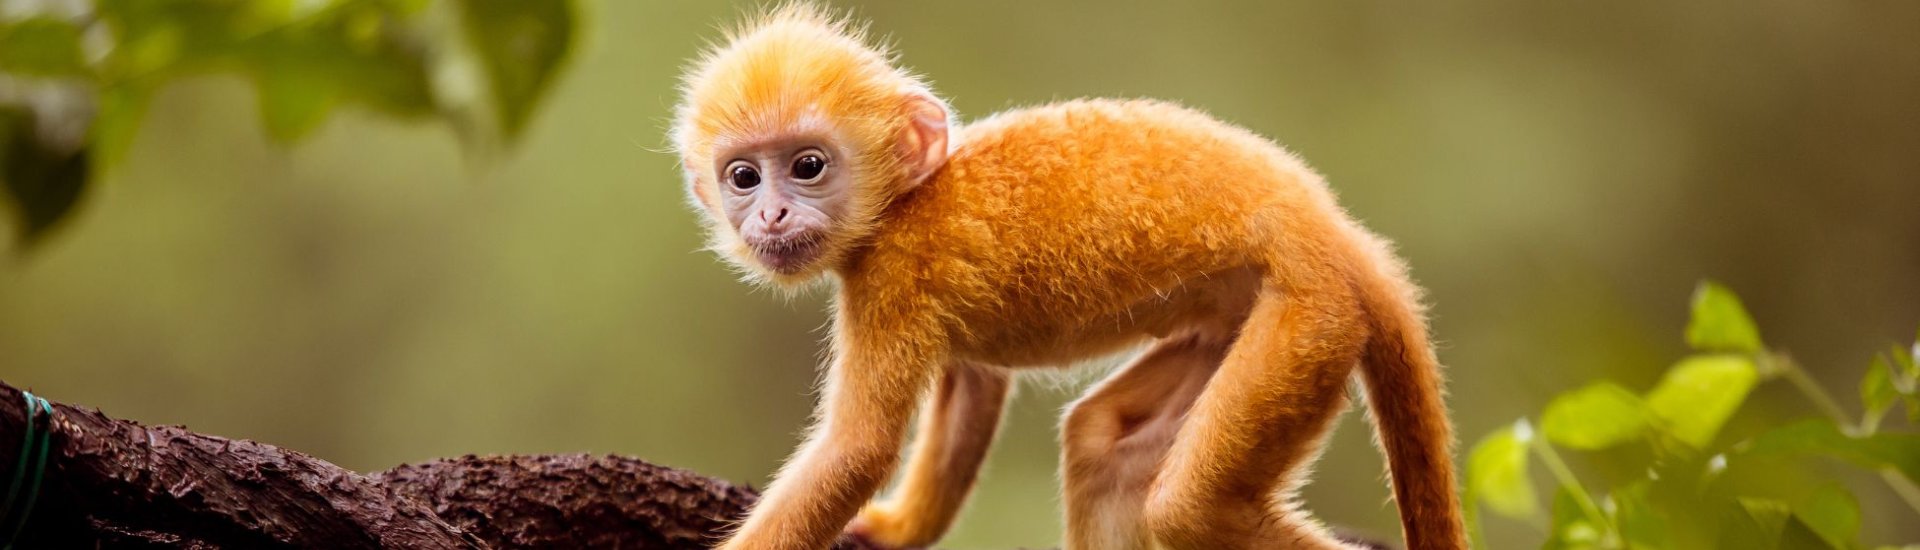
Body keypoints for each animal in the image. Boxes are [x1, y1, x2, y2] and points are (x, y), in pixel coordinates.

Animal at [669, 5, 1464, 550]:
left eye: (808, 165)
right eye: (743, 177)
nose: (769, 212)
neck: (906, 199)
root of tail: (1335, 232)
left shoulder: (897, 271)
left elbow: (855, 449)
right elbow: (974, 385)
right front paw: (897, 529)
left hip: (1310, 318)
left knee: (1188, 509)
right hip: (1264, 321)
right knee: (1102, 445)